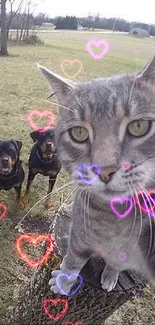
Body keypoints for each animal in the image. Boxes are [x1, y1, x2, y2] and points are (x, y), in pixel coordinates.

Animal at [38, 56, 155, 294]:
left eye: (139, 126)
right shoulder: (79, 231)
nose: (106, 169)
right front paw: (63, 280)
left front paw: (110, 275)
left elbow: (118, 261)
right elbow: (73, 260)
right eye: (79, 132)